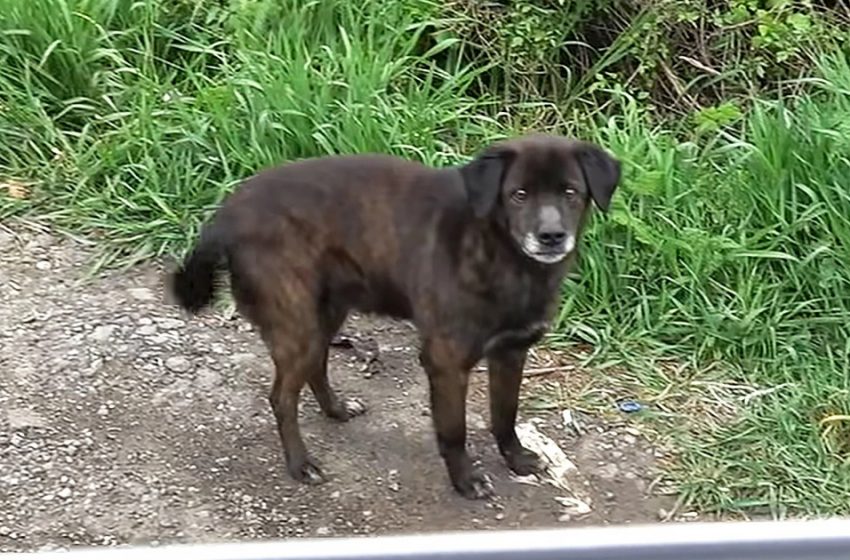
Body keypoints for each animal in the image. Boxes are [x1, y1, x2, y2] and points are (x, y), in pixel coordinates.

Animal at [169, 135, 620, 498]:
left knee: (316, 365)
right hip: (297, 322)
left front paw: (517, 459)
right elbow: (453, 431)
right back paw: (301, 464)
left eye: (570, 192)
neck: (502, 254)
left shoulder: (511, 352)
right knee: (282, 397)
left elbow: (504, 415)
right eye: (519, 194)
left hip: (326, 312)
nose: (551, 236)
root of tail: (227, 211)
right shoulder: (446, 362)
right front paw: (465, 480)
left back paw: (336, 409)